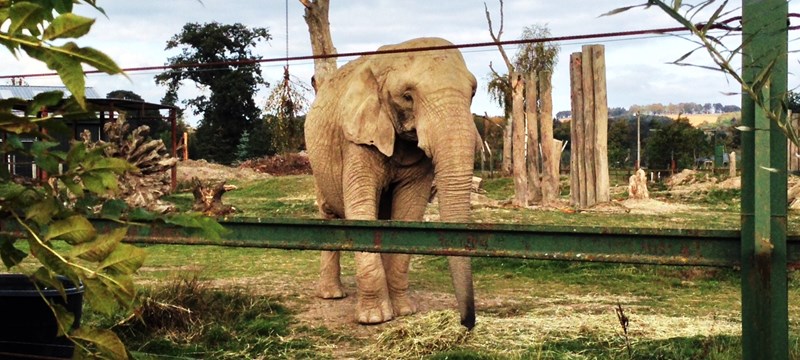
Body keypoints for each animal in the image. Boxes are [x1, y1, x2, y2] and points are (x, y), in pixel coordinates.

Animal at [304, 36, 476, 330]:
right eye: (407, 96)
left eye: (473, 92)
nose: (467, 323)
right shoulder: (356, 137)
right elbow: (361, 206)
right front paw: (375, 319)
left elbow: (409, 210)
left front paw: (404, 311)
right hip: (317, 164)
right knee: (329, 214)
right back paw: (332, 295)